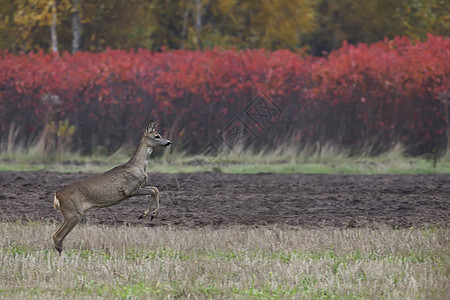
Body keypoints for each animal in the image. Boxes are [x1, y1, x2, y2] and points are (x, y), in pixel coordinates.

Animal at [52, 119, 171, 253]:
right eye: (157, 136)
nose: (169, 142)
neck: (138, 166)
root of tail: (57, 195)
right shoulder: (130, 189)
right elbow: (154, 191)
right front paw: (150, 214)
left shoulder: (138, 187)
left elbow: (155, 189)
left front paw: (146, 214)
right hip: (73, 213)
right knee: (57, 236)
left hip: (70, 214)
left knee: (56, 236)